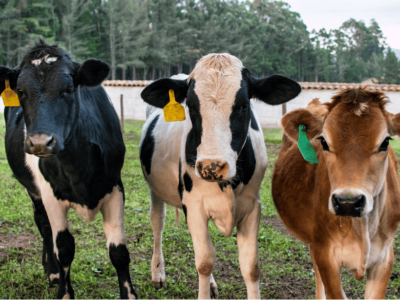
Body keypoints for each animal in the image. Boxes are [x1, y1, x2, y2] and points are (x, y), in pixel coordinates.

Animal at [0, 40, 137, 300]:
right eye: (21, 91)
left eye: (69, 89)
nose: (40, 143)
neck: (78, 167)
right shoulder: (50, 194)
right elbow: (63, 247)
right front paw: (64, 292)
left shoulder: (115, 186)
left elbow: (119, 251)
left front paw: (130, 295)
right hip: (34, 189)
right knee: (43, 223)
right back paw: (53, 272)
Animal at [139, 54, 298, 300]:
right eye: (191, 107)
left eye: (244, 106)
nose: (211, 166)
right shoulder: (194, 204)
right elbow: (204, 262)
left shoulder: (253, 205)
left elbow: (251, 266)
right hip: (155, 188)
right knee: (158, 220)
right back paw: (158, 274)